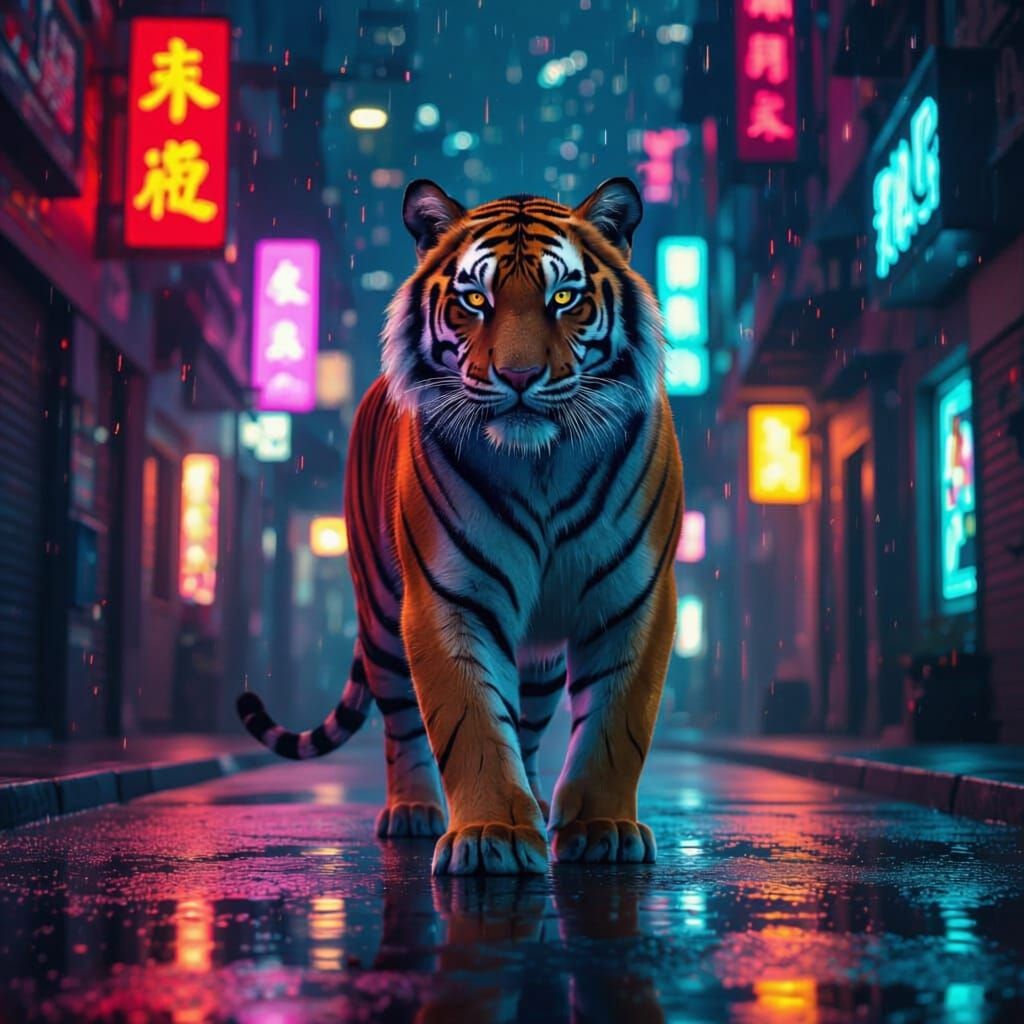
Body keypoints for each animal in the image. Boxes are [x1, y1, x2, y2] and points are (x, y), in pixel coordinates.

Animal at [237, 177, 683, 875]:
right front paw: (490, 835)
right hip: (380, 613)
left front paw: (601, 828)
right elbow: (469, 721)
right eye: (476, 299)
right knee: (401, 723)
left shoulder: (634, 598)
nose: (520, 376)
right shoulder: (450, 596)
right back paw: (414, 812)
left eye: (564, 297)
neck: (542, 464)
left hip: (538, 652)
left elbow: (617, 725)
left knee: (529, 725)